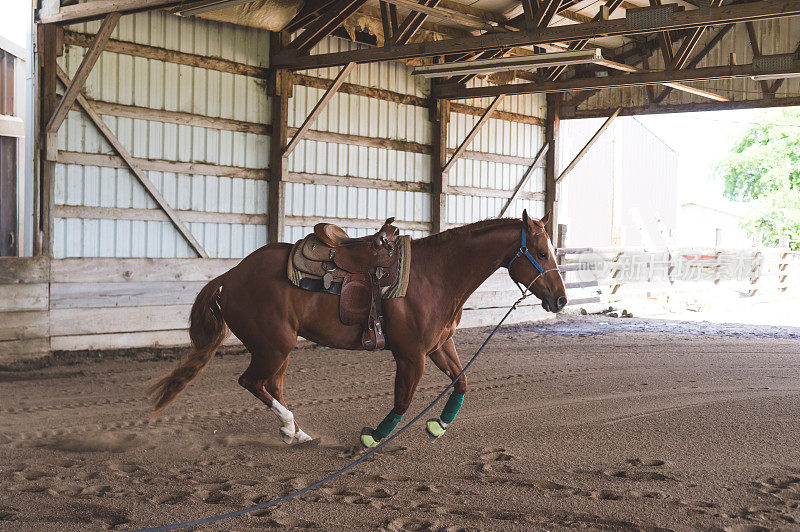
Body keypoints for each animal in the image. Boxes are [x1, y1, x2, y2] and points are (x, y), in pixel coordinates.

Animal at [147, 210, 564, 446]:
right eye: (542, 252)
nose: (560, 300)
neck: (436, 275)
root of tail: (231, 275)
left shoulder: (439, 346)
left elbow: (462, 382)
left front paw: (439, 427)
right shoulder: (411, 355)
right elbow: (402, 400)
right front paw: (373, 437)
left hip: (279, 348)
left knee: (271, 385)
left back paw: (296, 432)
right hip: (274, 345)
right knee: (252, 382)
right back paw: (290, 426)